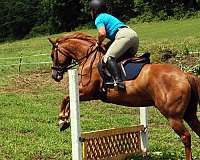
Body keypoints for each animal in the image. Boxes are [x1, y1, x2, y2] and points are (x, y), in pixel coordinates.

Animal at [48, 31, 200, 159]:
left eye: (52, 55)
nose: (55, 75)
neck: (89, 58)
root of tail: (185, 75)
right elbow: (67, 99)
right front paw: (64, 121)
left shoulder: (88, 92)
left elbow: (66, 98)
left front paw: (62, 120)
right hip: (189, 113)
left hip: (173, 116)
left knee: (186, 136)